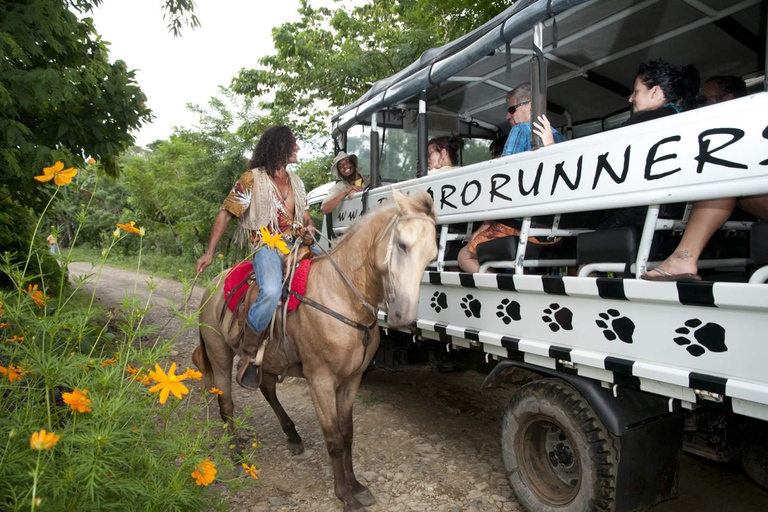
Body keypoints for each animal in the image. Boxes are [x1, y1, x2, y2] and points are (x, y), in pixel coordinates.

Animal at [192, 189, 438, 512]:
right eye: (402, 244)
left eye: (432, 256)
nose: (403, 316)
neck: (343, 296)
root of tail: (212, 286)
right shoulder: (320, 380)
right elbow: (333, 438)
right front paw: (344, 494)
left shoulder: (352, 379)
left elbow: (347, 433)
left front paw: (357, 486)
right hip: (219, 354)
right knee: (226, 405)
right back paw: (235, 453)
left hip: (268, 360)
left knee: (267, 389)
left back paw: (292, 435)